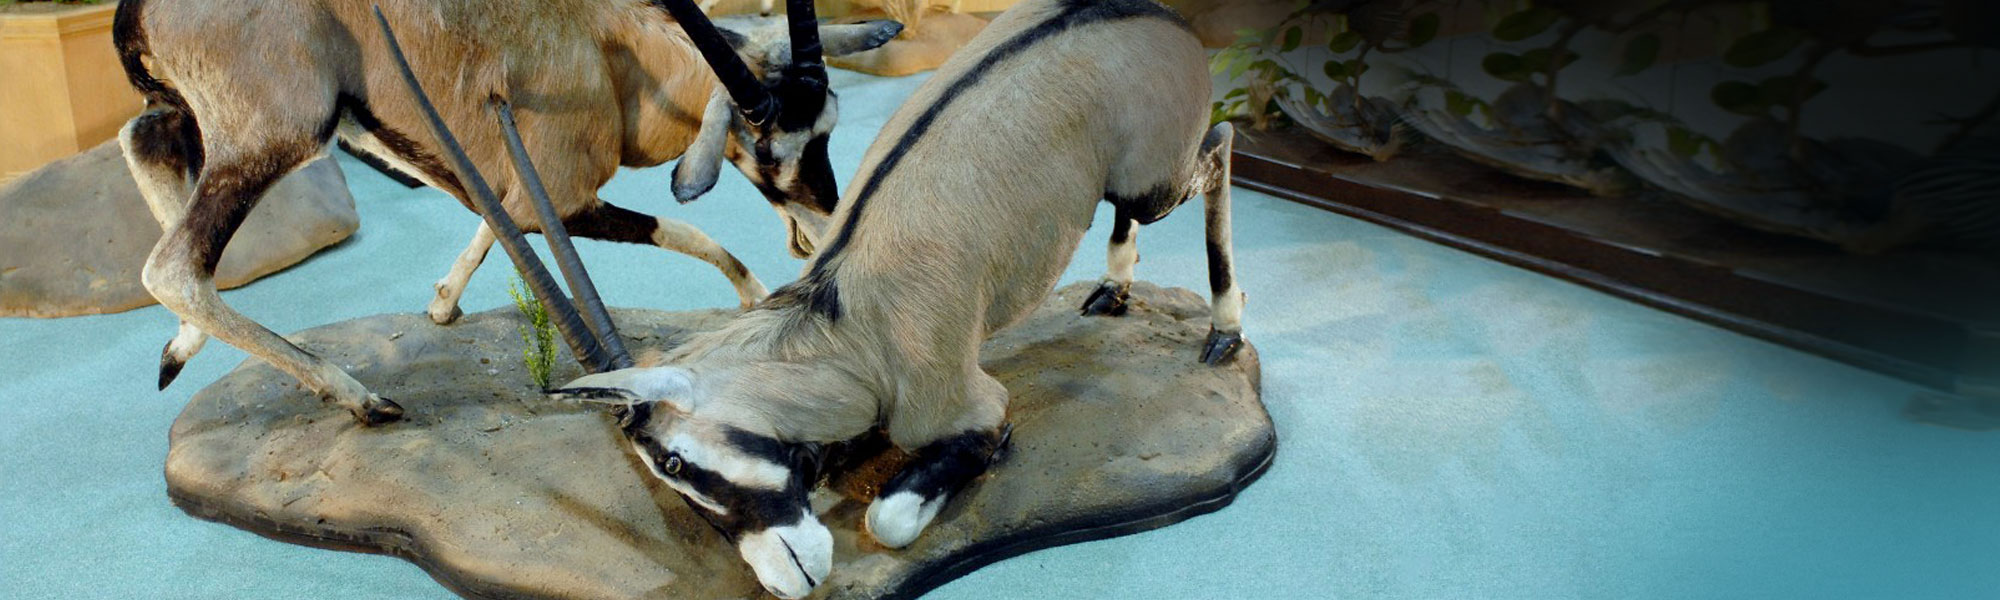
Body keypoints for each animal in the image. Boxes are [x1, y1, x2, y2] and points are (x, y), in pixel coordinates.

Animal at [114, 0, 900, 424]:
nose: (822, 228)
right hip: (282, 133)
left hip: (203, 118)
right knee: (173, 268)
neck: (612, 52)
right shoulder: (570, 200)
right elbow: (686, 227)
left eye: (828, 124)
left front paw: (441, 305)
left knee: (142, 137)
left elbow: (491, 225)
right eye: (765, 143)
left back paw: (179, 348)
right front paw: (754, 294)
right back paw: (362, 398)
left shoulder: (510, 191)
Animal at [544, 0, 1245, 595]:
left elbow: (889, 518)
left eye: (674, 461)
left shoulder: (973, 406)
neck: (841, 319)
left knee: (1221, 143)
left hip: (1155, 184)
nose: (787, 580)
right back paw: (1114, 289)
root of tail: (1165, 19)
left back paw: (1224, 331)